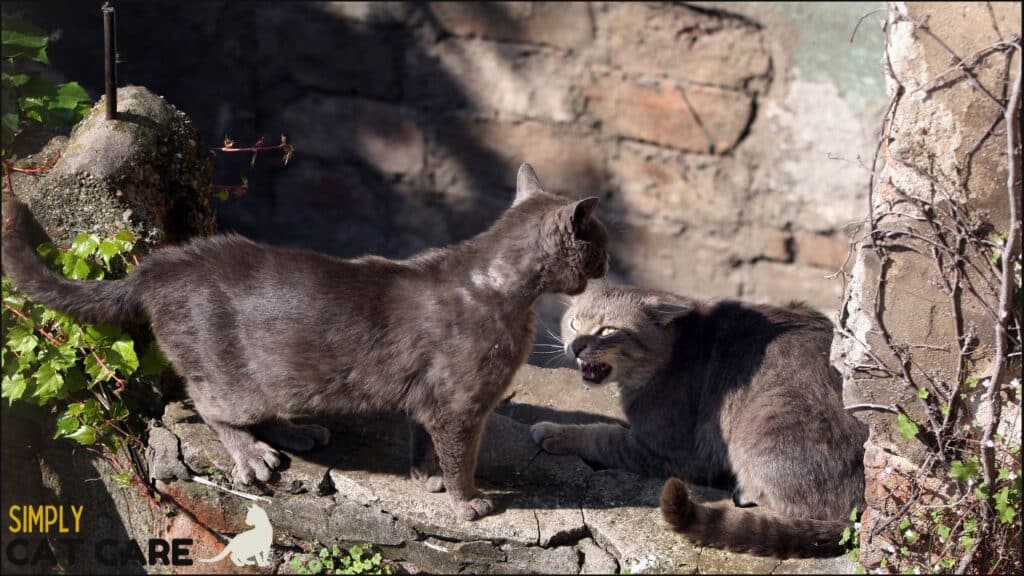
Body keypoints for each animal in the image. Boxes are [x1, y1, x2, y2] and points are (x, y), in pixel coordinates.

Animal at [2, 162, 606, 520]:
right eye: (600, 241)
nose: (607, 262)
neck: (503, 289)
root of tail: (162, 263)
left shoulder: (430, 400)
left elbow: (422, 440)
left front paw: (427, 476)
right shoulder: (460, 407)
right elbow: (462, 456)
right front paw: (468, 500)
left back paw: (300, 433)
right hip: (234, 378)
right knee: (211, 407)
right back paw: (254, 456)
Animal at [532, 280, 868, 553]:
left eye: (609, 330)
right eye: (575, 322)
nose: (576, 346)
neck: (671, 351)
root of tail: (857, 513)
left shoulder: (667, 451)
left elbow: (601, 436)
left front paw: (554, 432)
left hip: (769, 423)